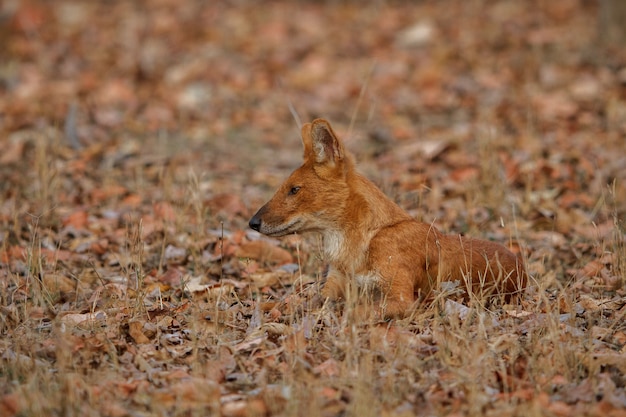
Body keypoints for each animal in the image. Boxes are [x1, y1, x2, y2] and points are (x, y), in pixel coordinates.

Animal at [246, 118, 524, 316]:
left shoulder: (401, 298)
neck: (357, 242)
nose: (252, 223)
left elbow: (354, 311)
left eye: (294, 189)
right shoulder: (335, 283)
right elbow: (296, 302)